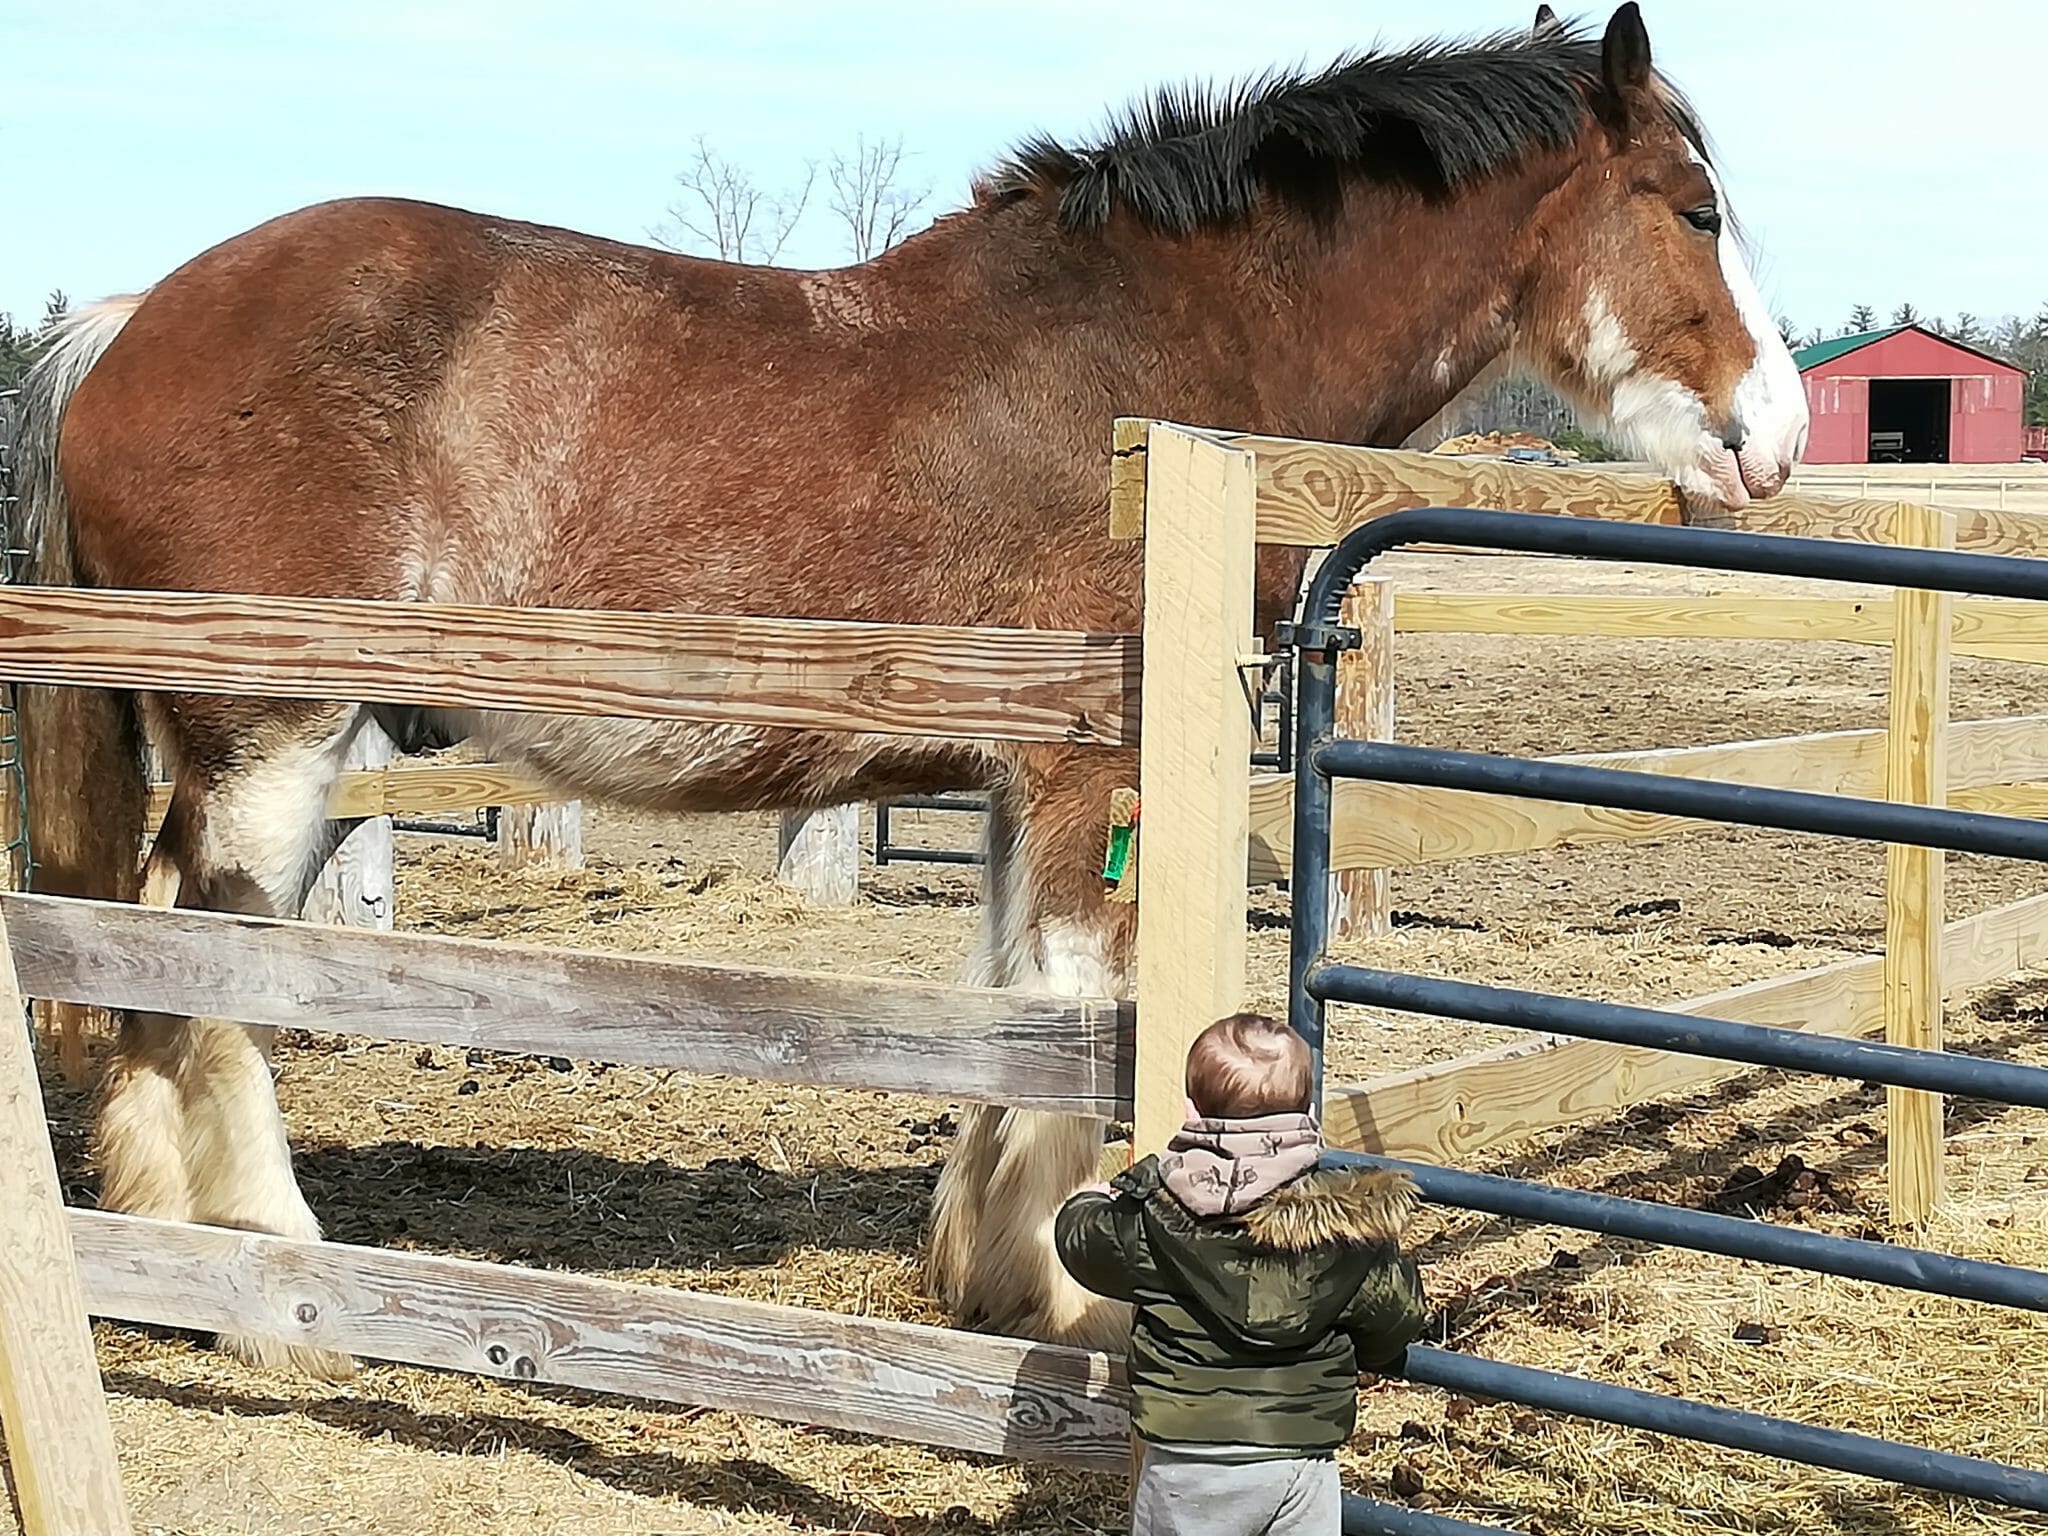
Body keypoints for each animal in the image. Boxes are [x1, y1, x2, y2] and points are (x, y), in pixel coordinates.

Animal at [11, 4, 1807, 1379]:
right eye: (1693, 209)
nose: (1772, 440)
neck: (1143, 368)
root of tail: (127, 321)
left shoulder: (1024, 783)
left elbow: (1018, 1007)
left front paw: (996, 1272)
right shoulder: (1095, 774)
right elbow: (1082, 1012)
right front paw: (1083, 1302)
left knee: (147, 946)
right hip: (276, 743)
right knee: (212, 963)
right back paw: (272, 1277)